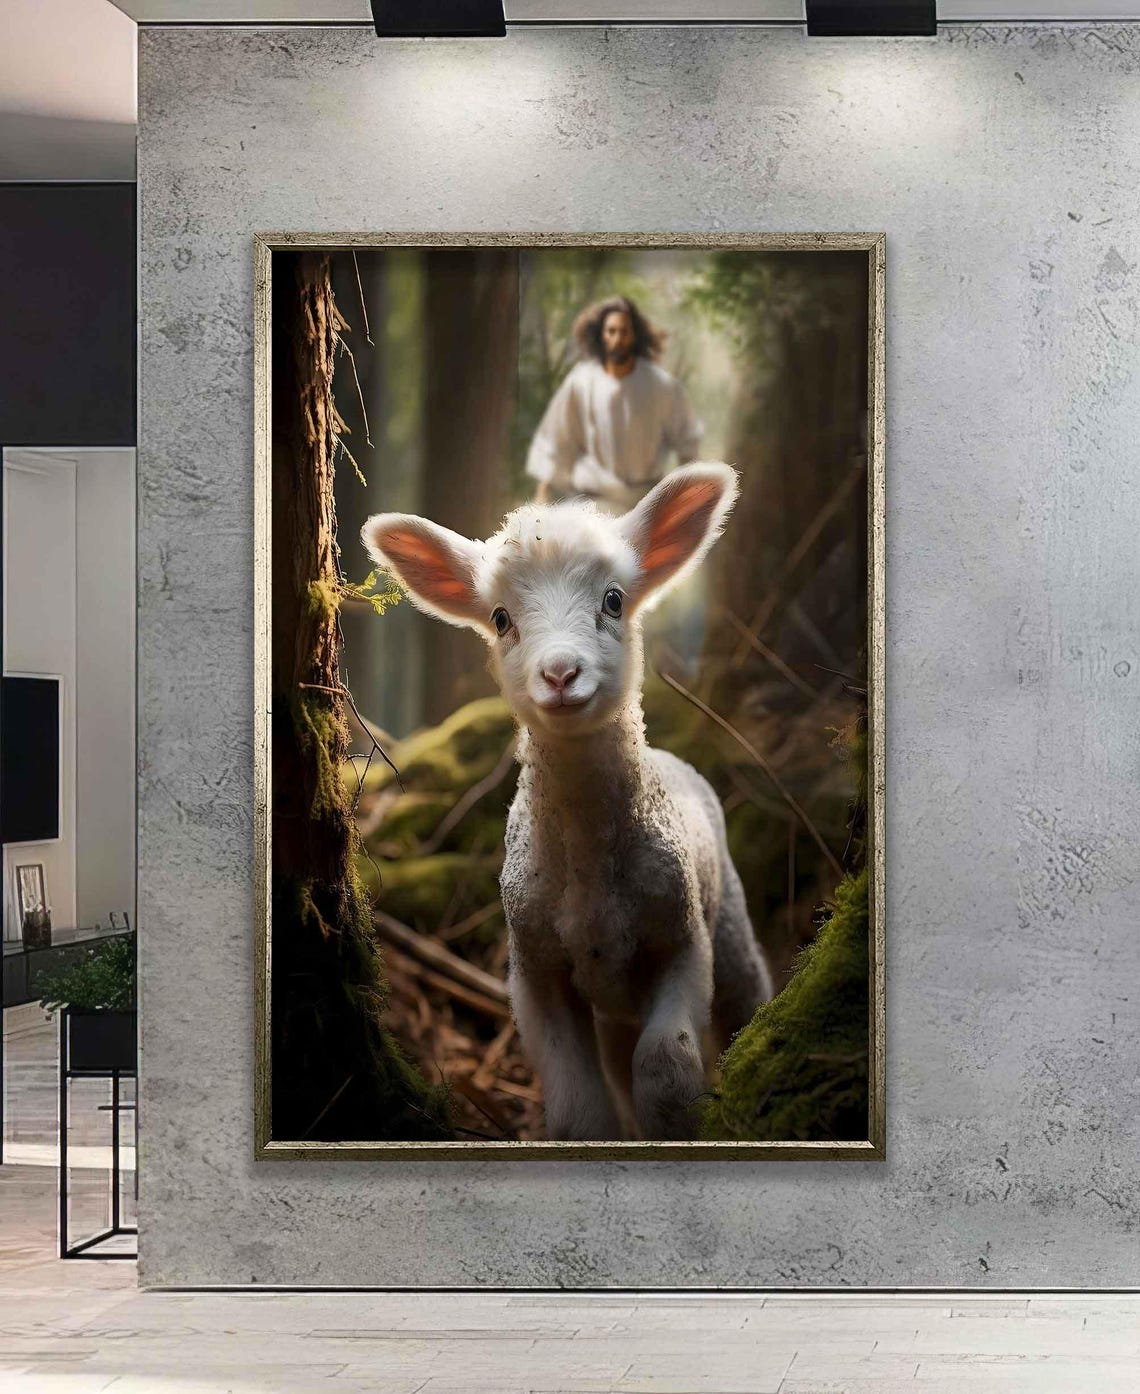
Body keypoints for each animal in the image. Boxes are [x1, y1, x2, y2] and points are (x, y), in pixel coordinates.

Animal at [362, 463, 773, 1141]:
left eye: (613, 599)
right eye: (501, 617)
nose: (559, 674)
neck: (589, 881)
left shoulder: (683, 942)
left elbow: (666, 1066)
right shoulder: (535, 973)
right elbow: (582, 1109)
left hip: (731, 922)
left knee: (747, 999)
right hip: (613, 1002)